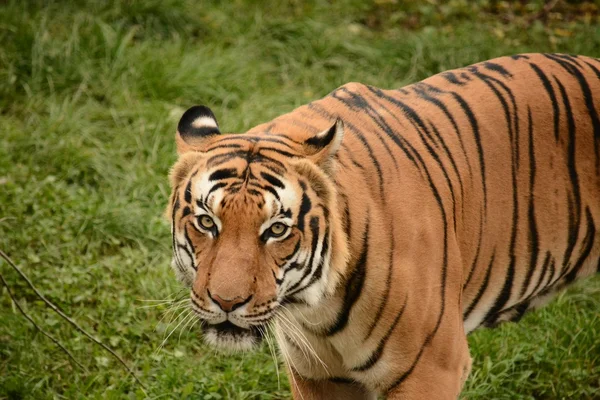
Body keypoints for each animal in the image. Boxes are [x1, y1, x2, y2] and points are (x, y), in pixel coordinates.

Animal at [165, 54, 600, 400]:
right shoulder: (320, 376)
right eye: (207, 222)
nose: (227, 303)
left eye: (276, 230)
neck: (316, 310)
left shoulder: (431, 369)